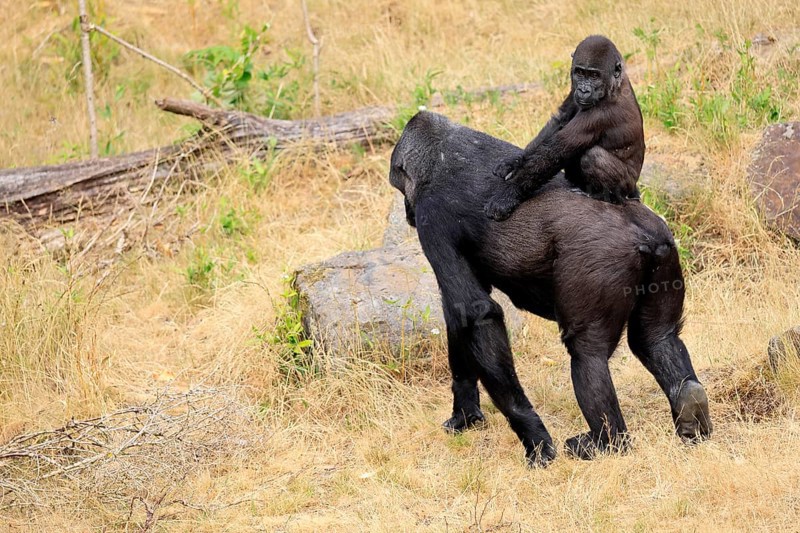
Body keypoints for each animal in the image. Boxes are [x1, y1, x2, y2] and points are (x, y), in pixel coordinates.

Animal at [390, 111, 711, 466]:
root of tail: (643, 231)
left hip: (600, 262)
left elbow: (476, 313)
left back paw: (606, 442)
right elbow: (459, 315)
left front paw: (533, 435)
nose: (406, 212)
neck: (442, 152)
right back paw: (690, 406)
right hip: (665, 252)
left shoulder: (432, 217)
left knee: (587, 353)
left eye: (400, 187)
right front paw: (465, 413)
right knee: (656, 339)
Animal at [484, 35, 645, 221]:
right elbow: (560, 121)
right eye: (580, 73)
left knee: (594, 156)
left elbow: (558, 149)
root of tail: (633, 191)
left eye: (595, 76)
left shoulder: (602, 113)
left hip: (626, 188)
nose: (583, 90)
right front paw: (514, 163)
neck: (615, 83)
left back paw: (604, 197)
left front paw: (508, 195)